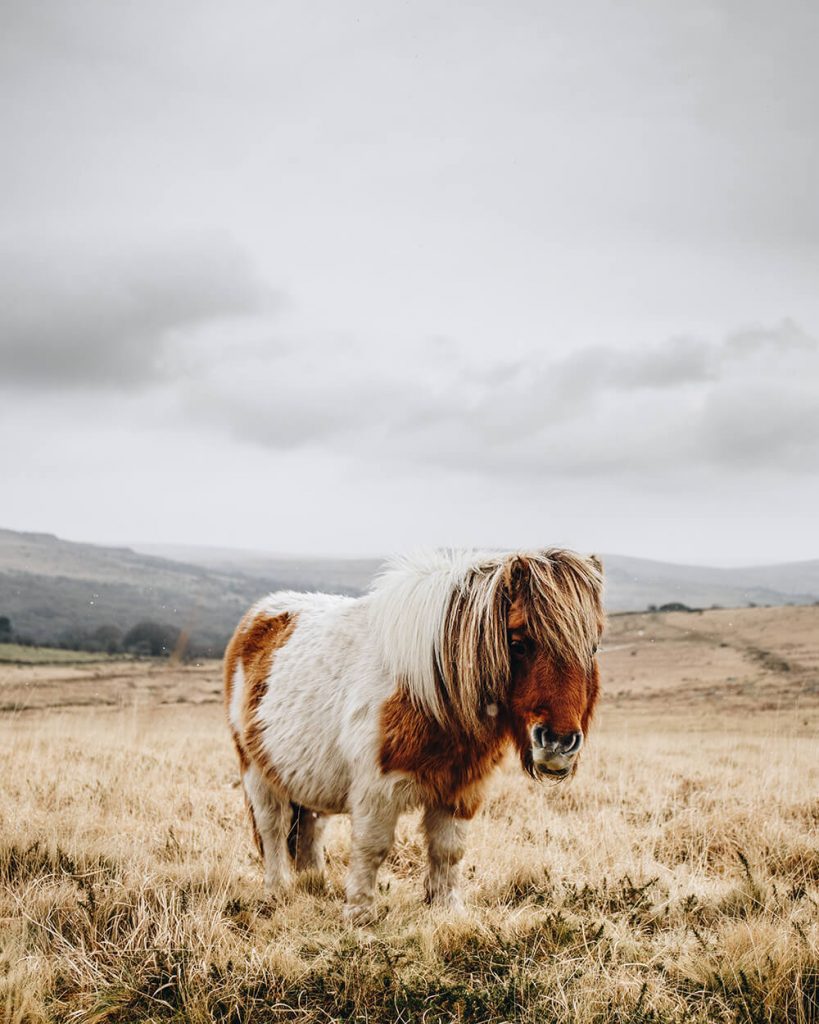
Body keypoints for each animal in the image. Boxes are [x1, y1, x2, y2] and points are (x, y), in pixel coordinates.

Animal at [224, 548, 601, 925]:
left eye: (594, 648)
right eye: (519, 643)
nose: (558, 743)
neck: (431, 692)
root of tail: (257, 616)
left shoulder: (462, 789)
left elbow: (449, 850)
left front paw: (446, 908)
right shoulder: (377, 790)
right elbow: (372, 847)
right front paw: (360, 913)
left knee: (310, 829)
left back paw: (314, 885)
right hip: (257, 772)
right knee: (273, 829)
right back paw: (278, 892)